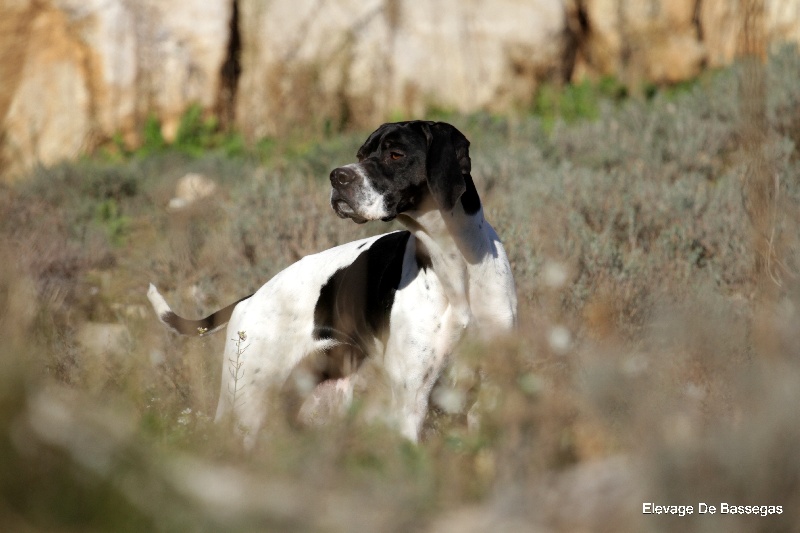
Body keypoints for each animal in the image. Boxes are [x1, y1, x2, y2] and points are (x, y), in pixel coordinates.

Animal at [147, 120, 516, 444]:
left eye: (395, 154)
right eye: (360, 154)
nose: (338, 177)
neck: (454, 266)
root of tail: (250, 298)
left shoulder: (489, 392)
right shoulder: (411, 400)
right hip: (244, 405)